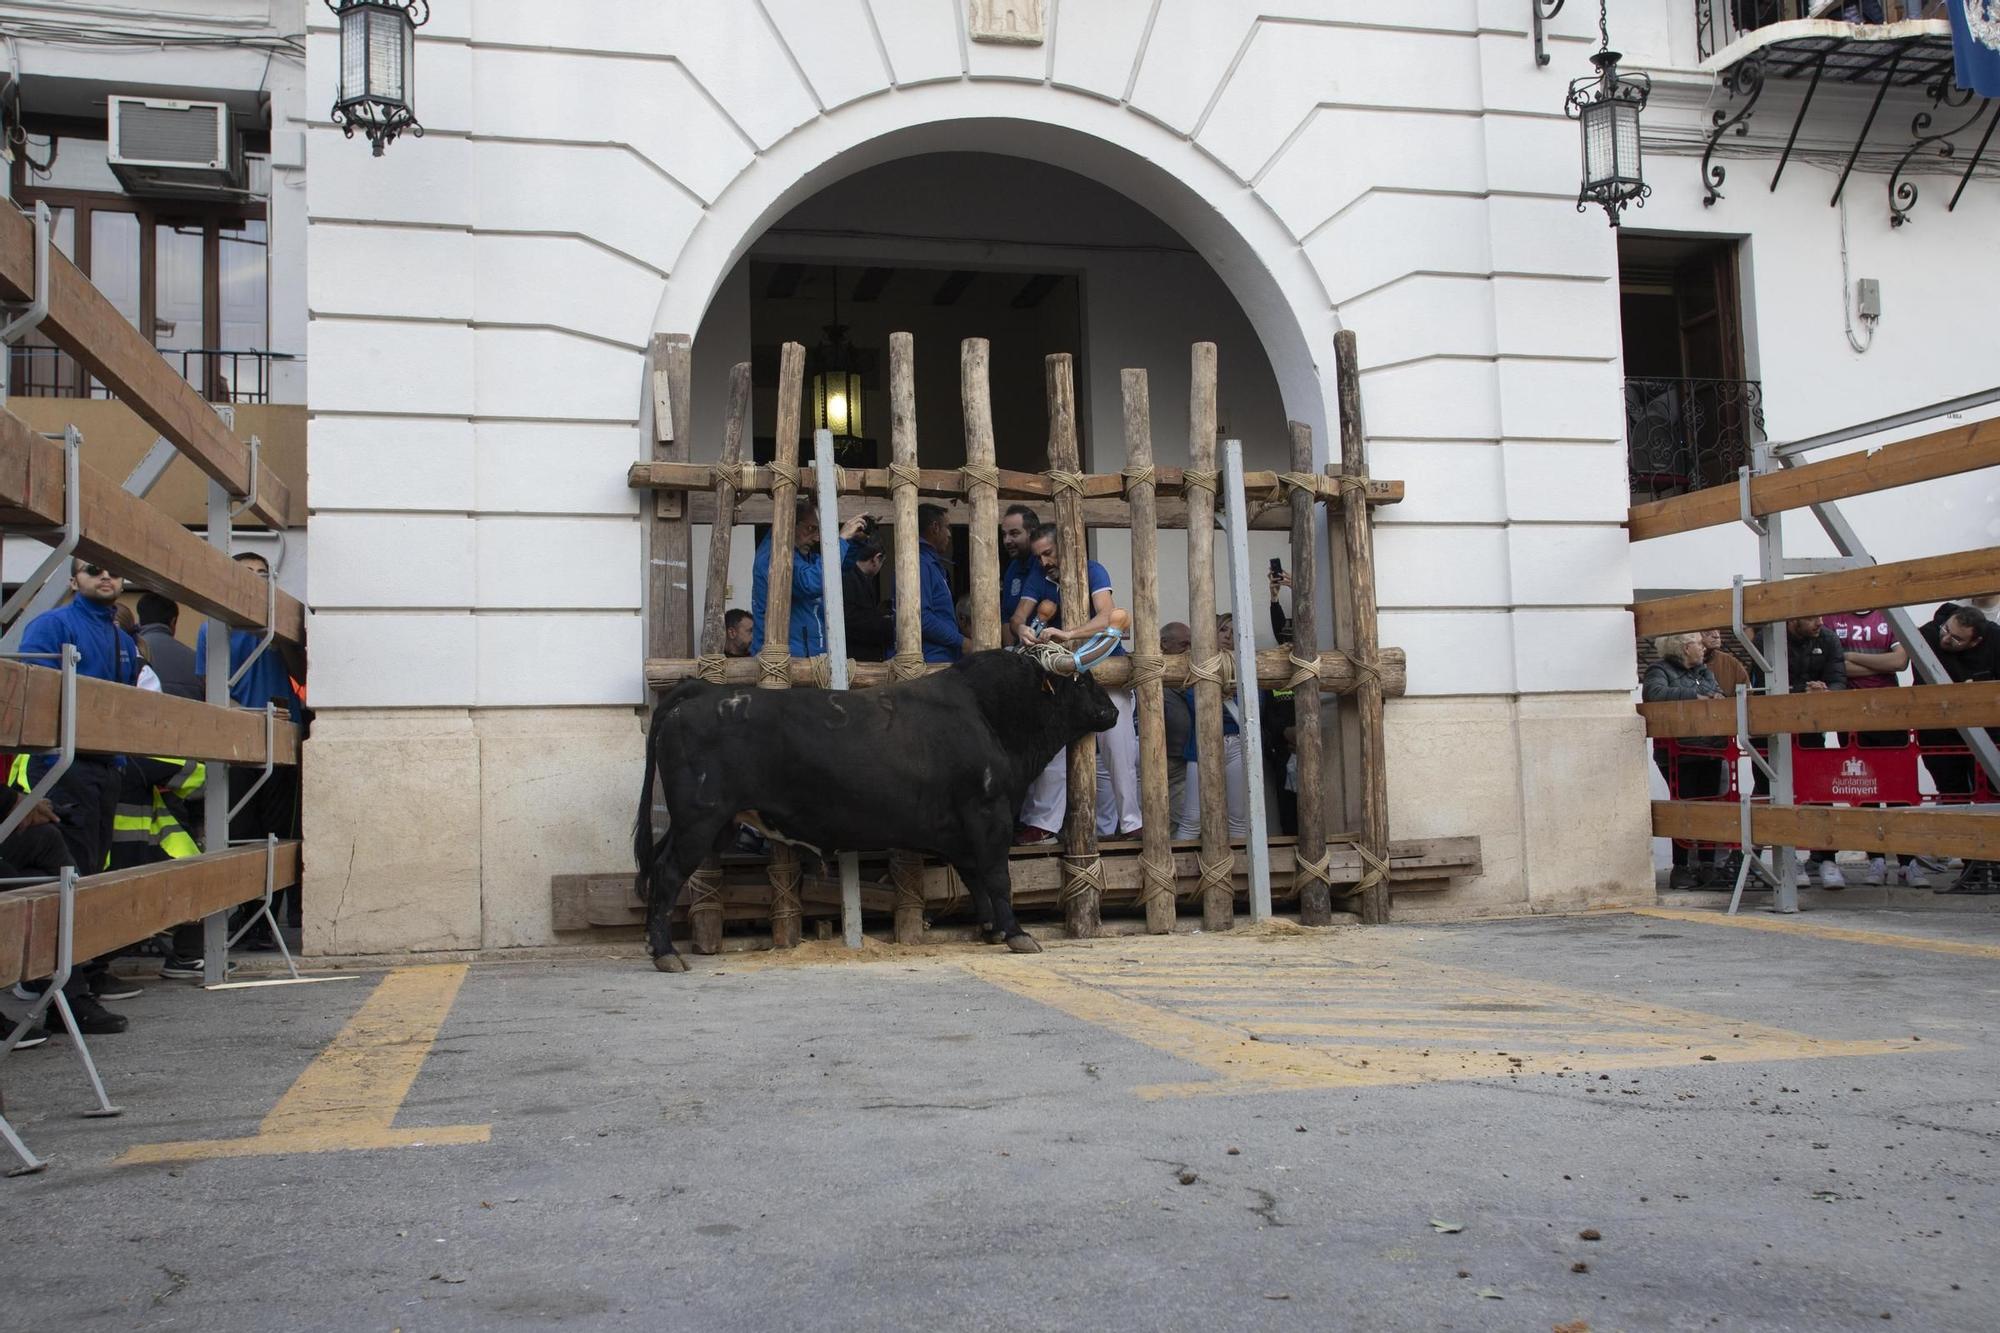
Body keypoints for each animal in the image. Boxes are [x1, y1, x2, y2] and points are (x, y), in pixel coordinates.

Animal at [632, 644, 1120, 964]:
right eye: (1084, 680)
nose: (1113, 711)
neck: (990, 713)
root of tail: (702, 693)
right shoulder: (988, 814)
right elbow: (997, 877)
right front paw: (1017, 933)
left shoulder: (962, 833)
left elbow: (977, 879)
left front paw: (993, 929)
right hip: (701, 819)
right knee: (668, 872)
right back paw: (665, 953)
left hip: (704, 822)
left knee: (657, 865)